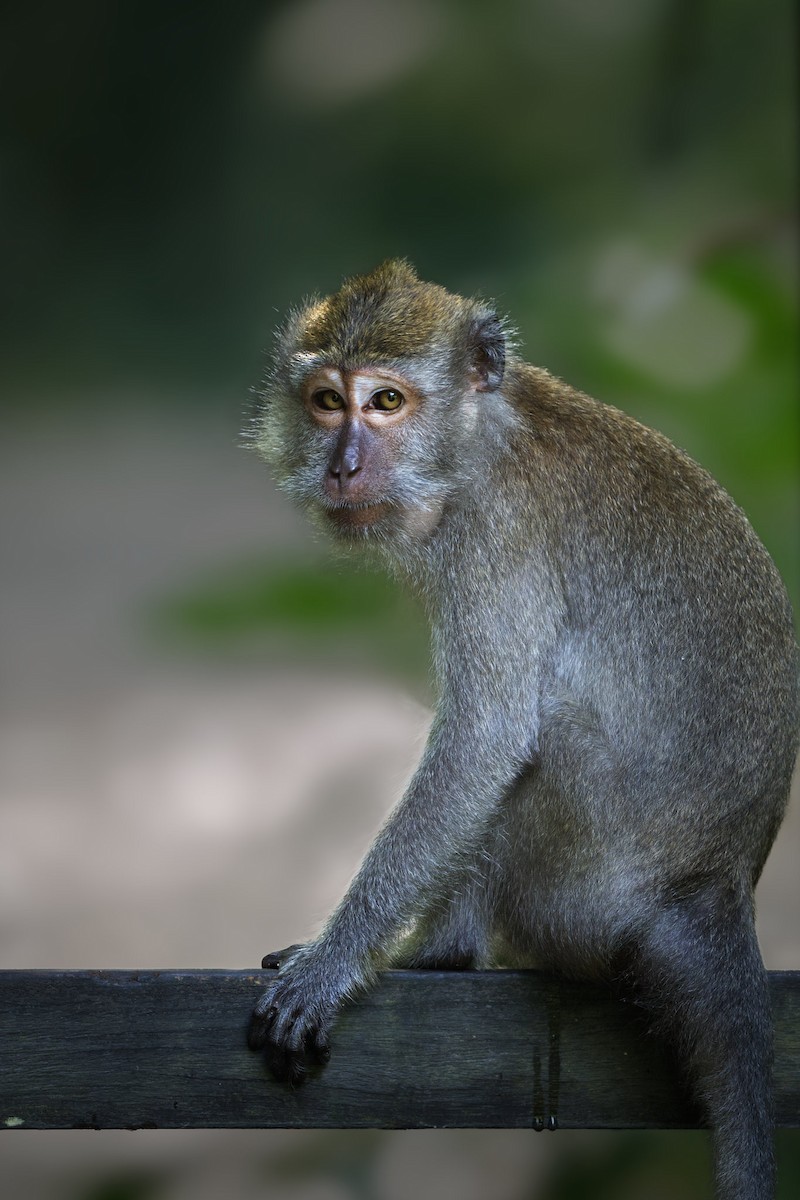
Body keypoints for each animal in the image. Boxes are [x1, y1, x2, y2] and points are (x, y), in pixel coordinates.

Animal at [247, 259, 799, 1200]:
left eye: (386, 402)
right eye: (325, 401)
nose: (344, 465)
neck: (482, 439)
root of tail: (716, 889)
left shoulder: (492, 538)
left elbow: (485, 741)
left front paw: (333, 962)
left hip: (583, 891)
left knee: (544, 741)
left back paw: (440, 950)